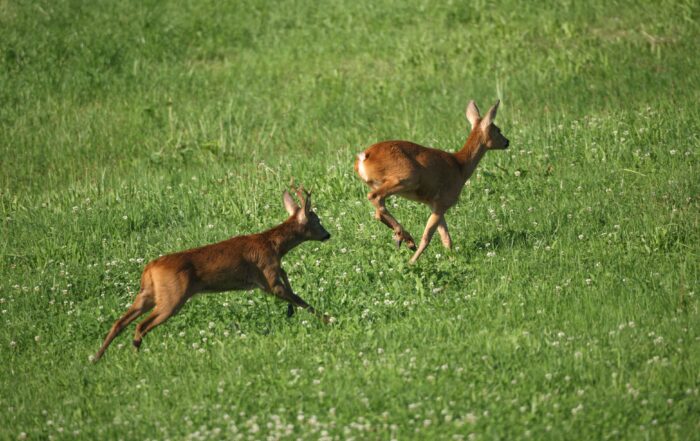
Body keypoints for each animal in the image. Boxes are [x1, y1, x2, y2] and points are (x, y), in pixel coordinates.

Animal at [93, 186, 330, 360]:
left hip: (148, 293)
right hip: (172, 296)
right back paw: (134, 354)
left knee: (119, 322)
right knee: (141, 325)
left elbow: (290, 284)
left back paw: (97, 358)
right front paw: (327, 319)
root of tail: (149, 267)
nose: (328, 234)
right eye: (317, 220)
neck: (273, 244)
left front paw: (296, 313)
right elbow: (297, 297)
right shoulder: (267, 277)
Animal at [356, 99, 508, 262]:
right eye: (498, 130)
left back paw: (402, 238)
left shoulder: (434, 204)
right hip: (407, 177)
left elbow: (446, 238)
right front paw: (412, 262)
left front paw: (451, 258)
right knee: (375, 197)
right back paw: (407, 240)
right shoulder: (444, 201)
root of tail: (364, 157)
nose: (507, 142)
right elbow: (428, 237)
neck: (460, 166)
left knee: (378, 211)